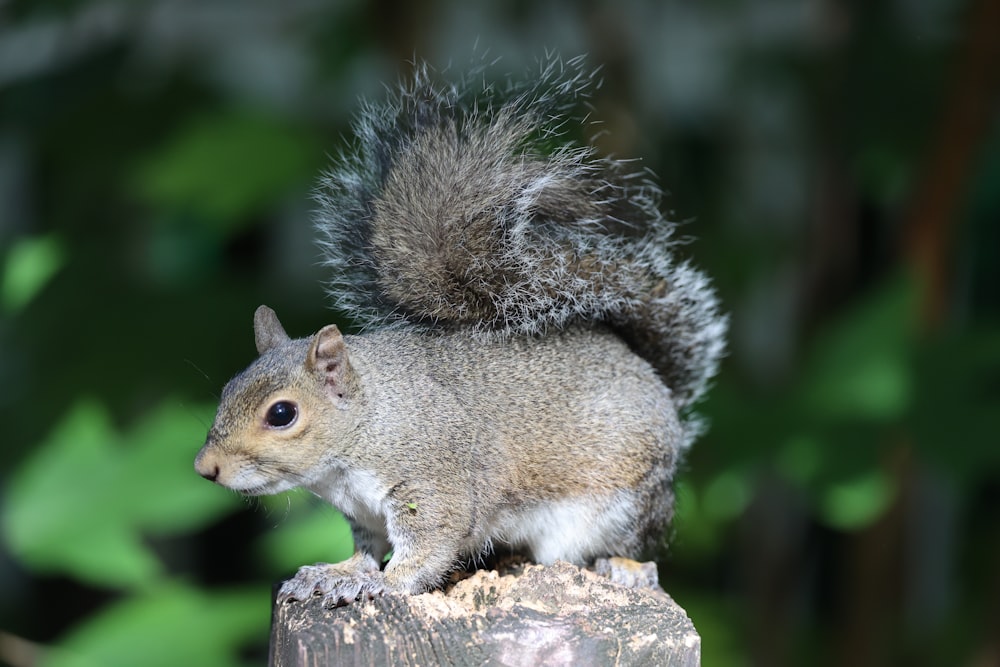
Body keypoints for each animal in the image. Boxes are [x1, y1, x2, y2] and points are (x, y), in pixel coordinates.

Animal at [195, 57, 728, 608]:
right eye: (227, 389)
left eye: (282, 414)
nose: (205, 468)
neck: (368, 422)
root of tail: (654, 381)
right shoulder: (362, 511)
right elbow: (365, 549)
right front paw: (337, 572)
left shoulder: (433, 479)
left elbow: (429, 545)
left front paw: (384, 584)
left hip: (621, 502)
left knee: (620, 545)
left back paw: (626, 567)